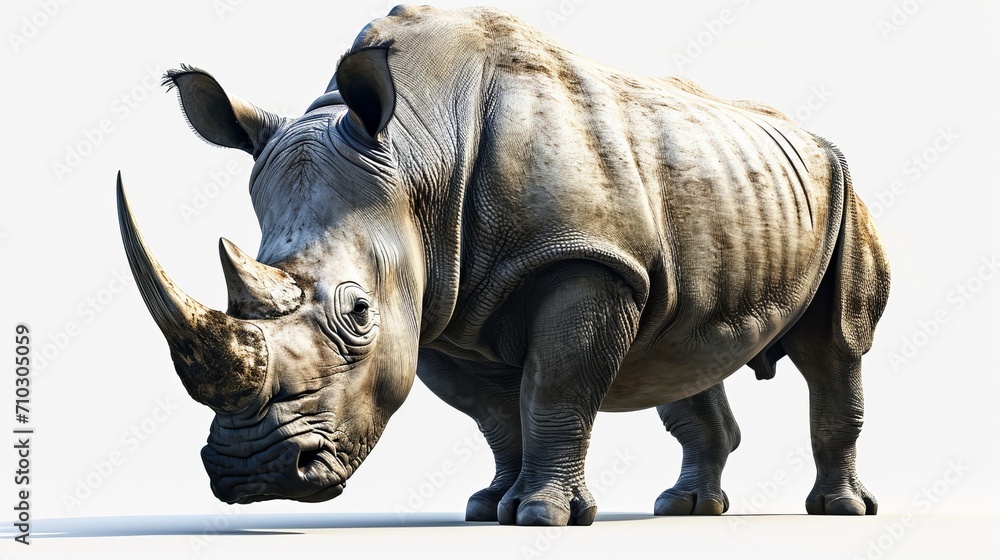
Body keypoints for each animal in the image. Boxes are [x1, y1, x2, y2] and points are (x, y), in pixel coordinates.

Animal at [117, 5, 889, 526]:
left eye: (359, 313)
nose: (253, 473)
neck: (417, 153)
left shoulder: (585, 260)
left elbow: (556, 386)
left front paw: (543, 515)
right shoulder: (438, 298)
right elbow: (493, 413)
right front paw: (490, 506)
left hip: (844, 188)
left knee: (835, 348)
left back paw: (840, 510)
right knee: (683, 347)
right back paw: (685, 507)